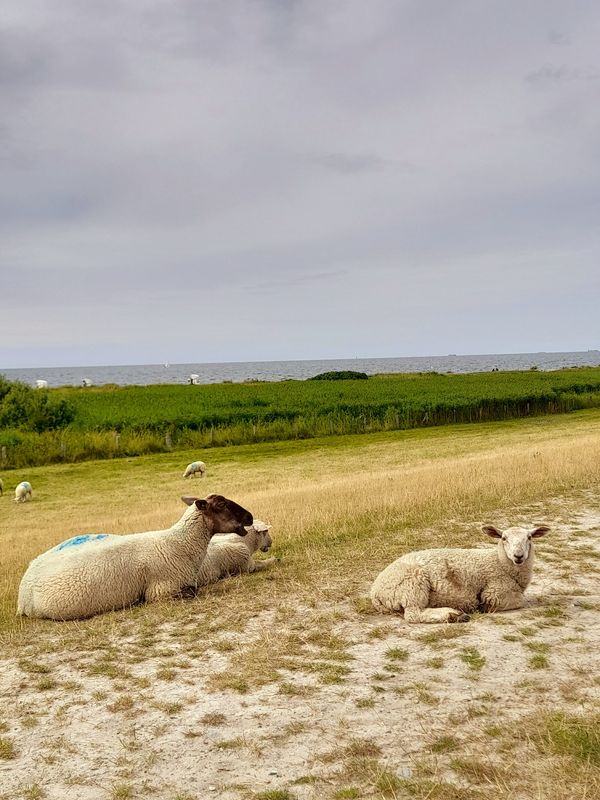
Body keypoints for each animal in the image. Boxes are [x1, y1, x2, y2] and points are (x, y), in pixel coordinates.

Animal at [368, 524, 552, 624]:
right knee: (414, 614)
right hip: (413, 586)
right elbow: (520, 601)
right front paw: (484, 607)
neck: (499, 563)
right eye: (504, 538)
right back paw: (453, 615)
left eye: (529, 537)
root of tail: (375, 592)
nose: (518, 556)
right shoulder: (495, 592)